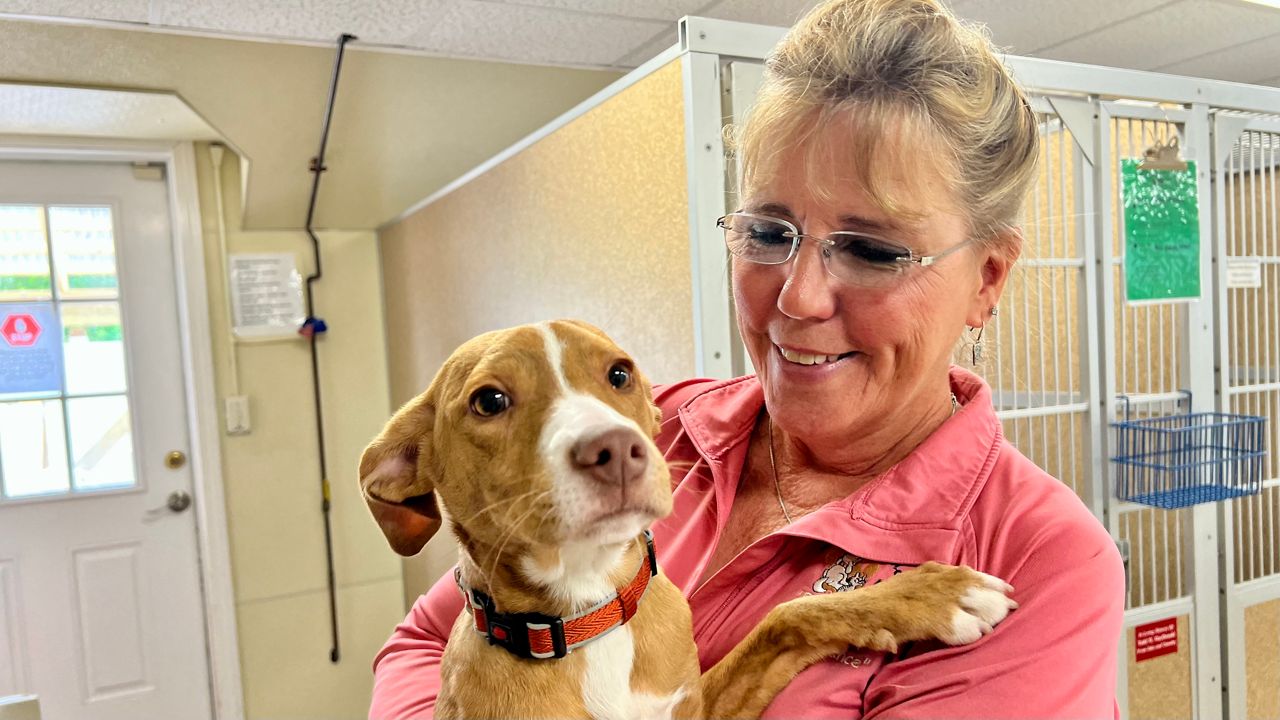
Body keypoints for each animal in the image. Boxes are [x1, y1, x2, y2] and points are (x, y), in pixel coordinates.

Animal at [358, 320, 1008, 717]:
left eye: (619, 373)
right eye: (488, 401)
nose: (615, 449)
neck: (588, 613)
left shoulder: (697, 701)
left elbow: (787, 617)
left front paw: (929, 593)